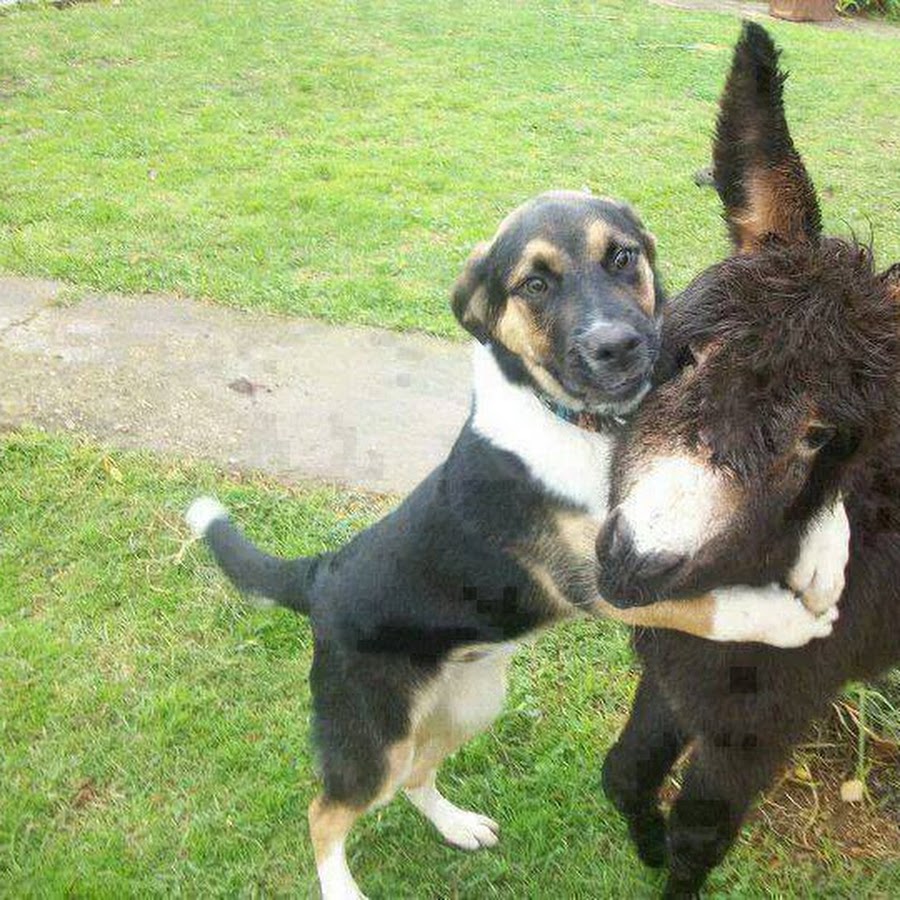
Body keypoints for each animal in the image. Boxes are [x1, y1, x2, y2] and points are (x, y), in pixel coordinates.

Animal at [185, 191, 843, 899]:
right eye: (534, 284)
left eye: (621, 257)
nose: (617, 347)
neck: (592, 428)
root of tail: (320, 575)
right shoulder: (600, 579)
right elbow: (711, 604)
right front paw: (783, 616)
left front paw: (827, 558)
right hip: (375, 738)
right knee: (326, 810)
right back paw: (342, 887)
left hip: (469, 704)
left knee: (417, 775)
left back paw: (457, 827)